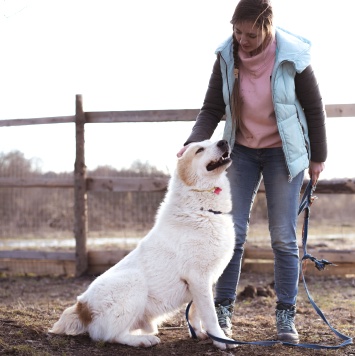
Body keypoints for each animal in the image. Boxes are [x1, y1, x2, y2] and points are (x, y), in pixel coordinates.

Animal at [48, 140, 235, 350]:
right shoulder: (198, 278)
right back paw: (142, 340)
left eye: (212, 142)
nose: (224, 142)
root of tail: (81, 308)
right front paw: (221, 339)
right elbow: (210, 314)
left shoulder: (202, 282)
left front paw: (199, 333)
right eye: (200, 150)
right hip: (133, 281)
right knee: (110, 336)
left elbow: (196, 311)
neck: (202, 209)